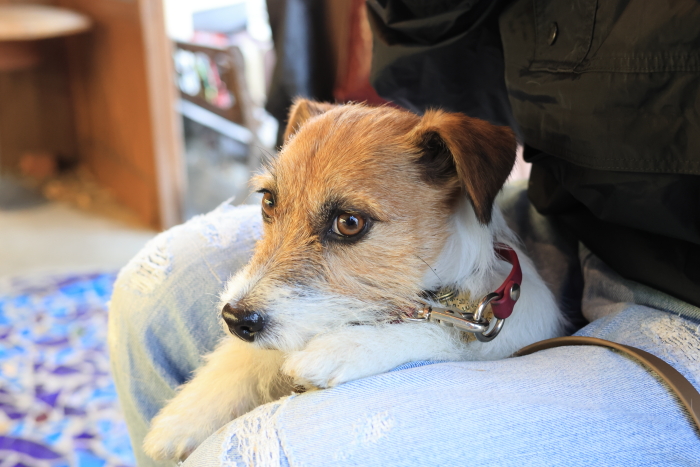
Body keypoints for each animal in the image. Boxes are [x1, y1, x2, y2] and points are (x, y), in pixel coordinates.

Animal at [143, 100, 566, 461]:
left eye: (349, 222)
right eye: (267, 201)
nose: (235, 320)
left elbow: (440, 337)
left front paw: (347, 346)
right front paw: (188, 414)